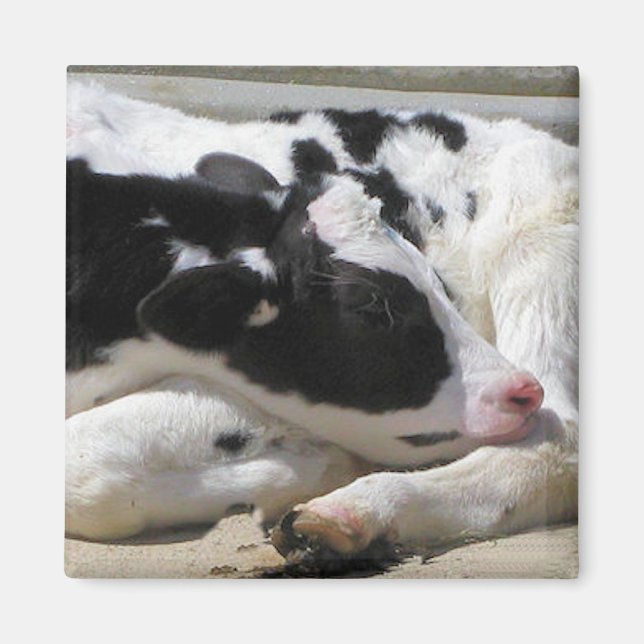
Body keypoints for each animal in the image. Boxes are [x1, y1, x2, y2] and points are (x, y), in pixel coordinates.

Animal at [66, 82, 577, 564]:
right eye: (371, 308)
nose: (516, 390)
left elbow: (83, 464)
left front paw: (313, 470)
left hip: (538, 249)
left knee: (556, 440)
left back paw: (353, 510)